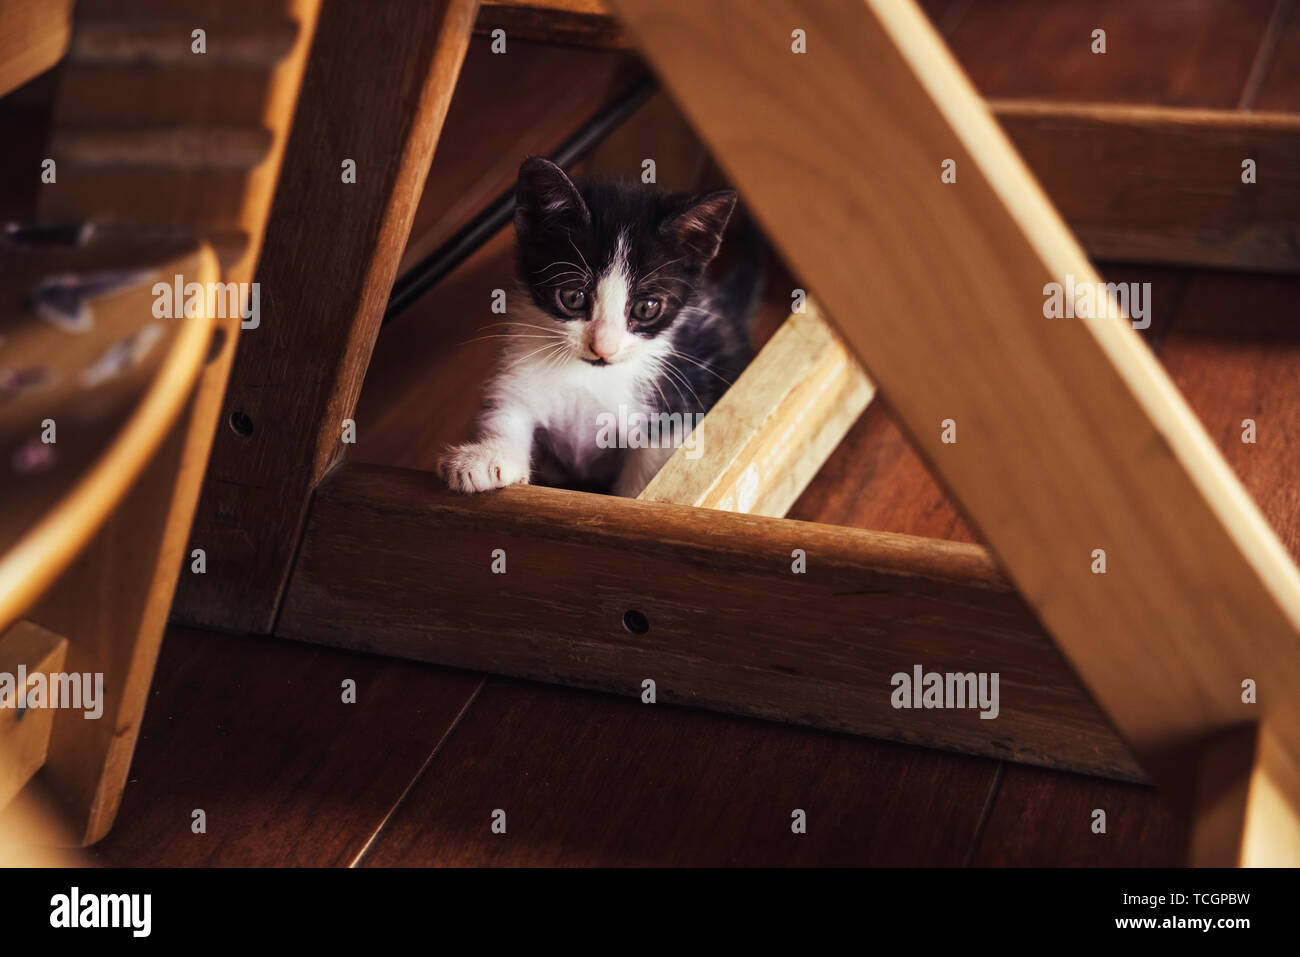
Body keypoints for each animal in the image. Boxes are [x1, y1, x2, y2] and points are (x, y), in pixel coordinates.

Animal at [441, 155, 759, 501]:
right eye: (572, 297)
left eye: (646, 308)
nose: (603, 347)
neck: (588, 376)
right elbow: (507, 411)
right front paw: (486, 458)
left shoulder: (671, 407)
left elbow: (646, 475)